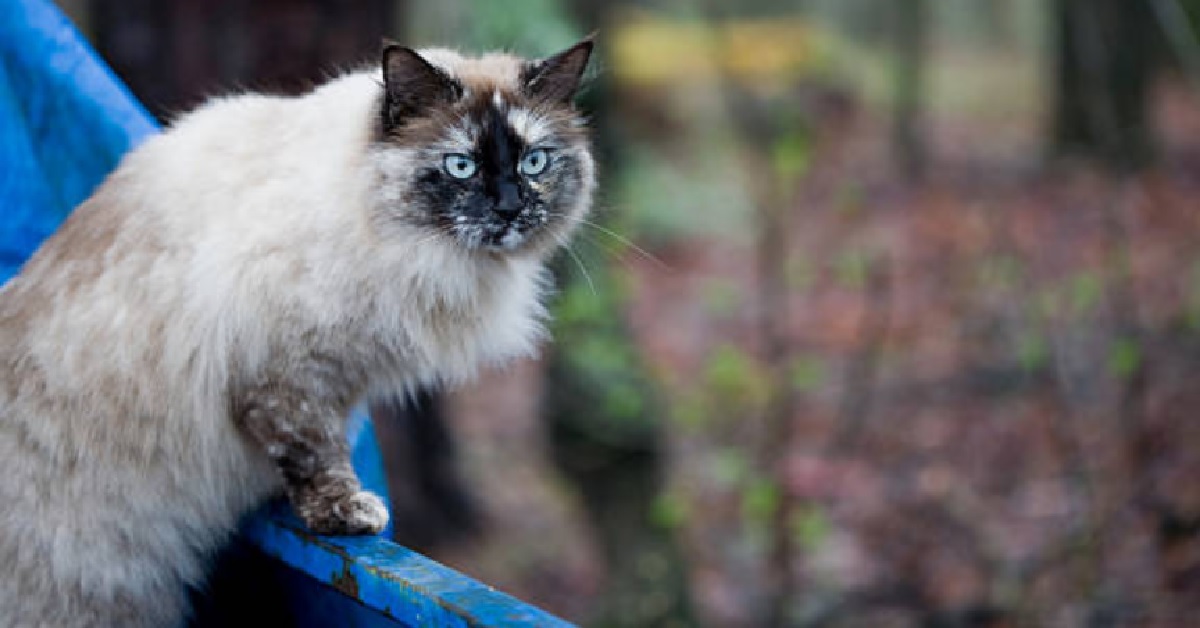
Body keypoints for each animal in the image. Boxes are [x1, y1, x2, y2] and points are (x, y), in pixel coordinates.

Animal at [0, 36, 595, 624]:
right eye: (461, 166)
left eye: (535, 162)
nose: (510, 208)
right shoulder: (287, 373)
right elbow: (315, 451)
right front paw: (347, 512)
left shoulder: (339, 378)